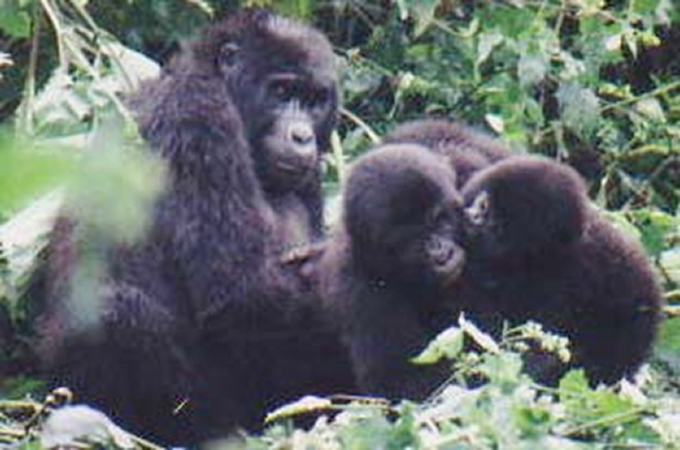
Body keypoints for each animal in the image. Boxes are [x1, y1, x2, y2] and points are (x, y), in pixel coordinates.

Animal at [37, 8, 356, 444]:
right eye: (280, 91)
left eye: (314, 101)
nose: (302, 136)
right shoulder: (199, 117)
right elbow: (241, 291)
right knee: (113, 310)